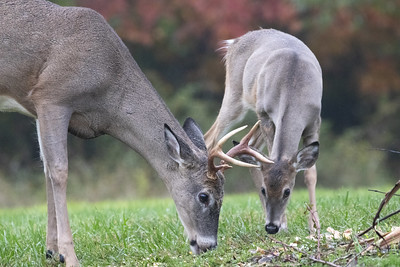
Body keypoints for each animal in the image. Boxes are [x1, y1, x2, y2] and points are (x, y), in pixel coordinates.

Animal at [0, 1, 268, 266]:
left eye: (223, 194)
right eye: (204, 196)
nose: (208, 245)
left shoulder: (37, 109)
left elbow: (46, 169)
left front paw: (52, 252)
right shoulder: (52, 97)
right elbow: (59, 171)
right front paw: (70, 256)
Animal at [205, 28, 324, 236]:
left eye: (287, 191)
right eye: (264, 189)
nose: (271, 226)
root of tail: (234, 42)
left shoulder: (314, 122)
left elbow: (310, 174)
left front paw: (315, 226)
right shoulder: (267, 115)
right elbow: (269, 157)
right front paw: (284, 224)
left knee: (251, 147)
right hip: (235, 96)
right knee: (210, 138)